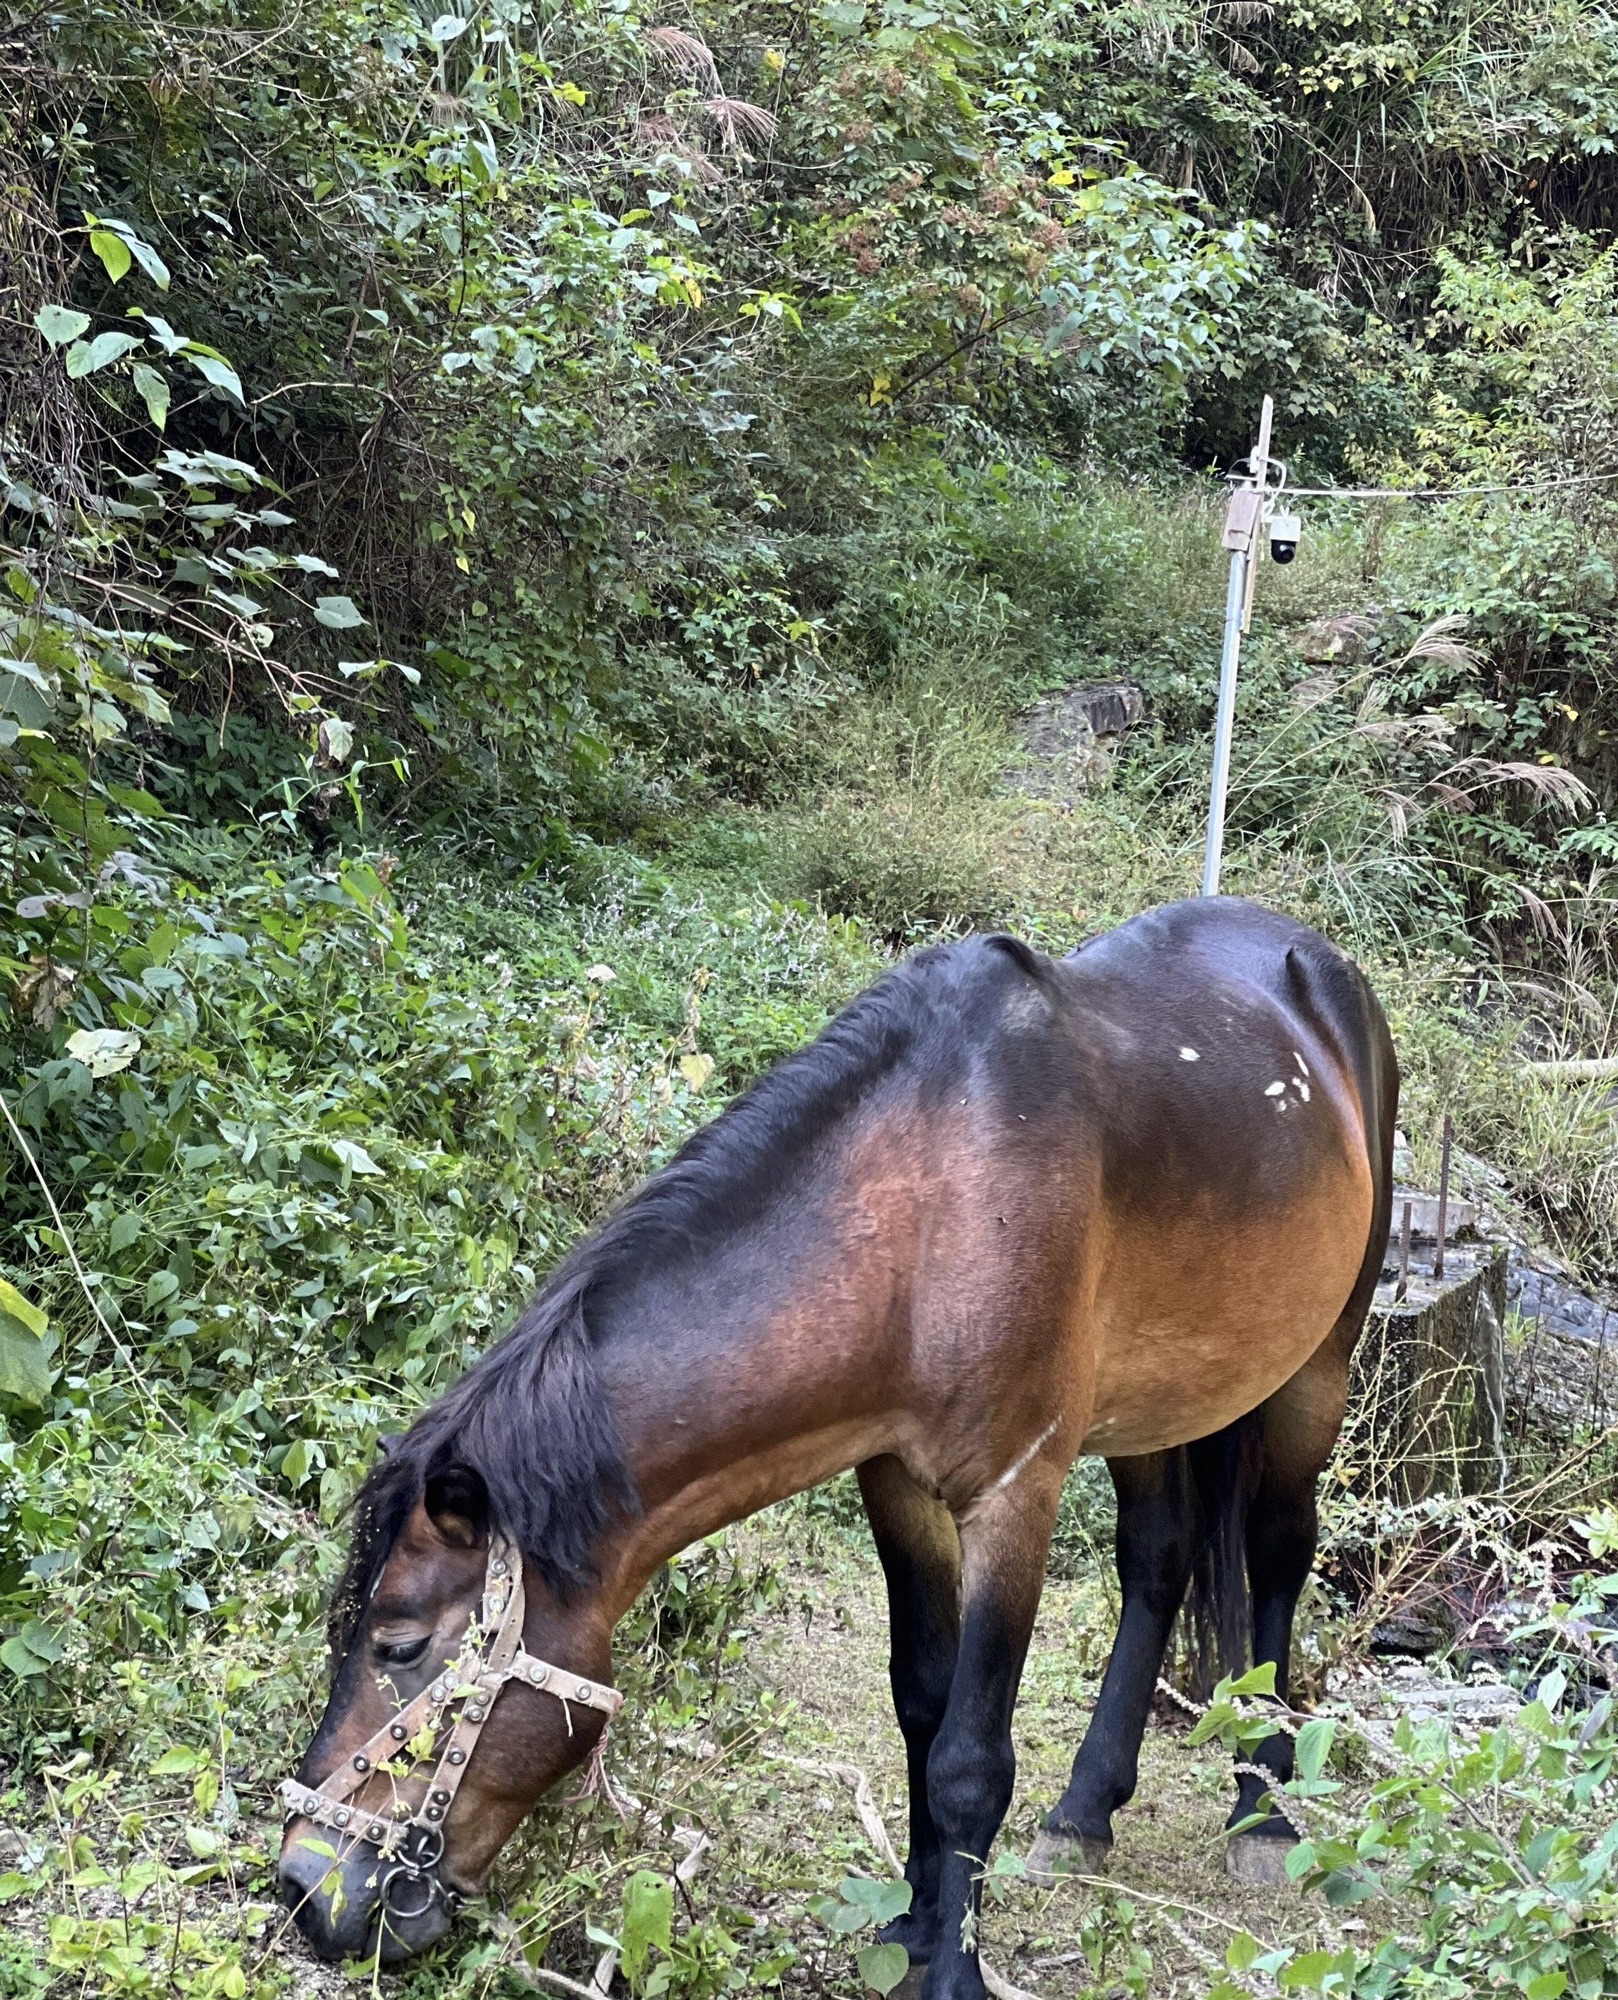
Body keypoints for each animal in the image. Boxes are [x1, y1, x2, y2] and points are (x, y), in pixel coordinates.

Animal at [278, 895, 1396, 1990]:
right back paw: (1084, 1812)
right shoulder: (894, 1481)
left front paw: (955, 1973)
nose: (301, 1883)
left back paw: (1264, 1811)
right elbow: (921, 1707)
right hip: (1154, 1404)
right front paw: (916, 1927)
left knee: (1279, 1553)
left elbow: (969, 1760)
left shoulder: (1014, 1493)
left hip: (1317, 1372)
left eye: (398, 1645)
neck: (934, 1210)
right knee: (1156, 1565)